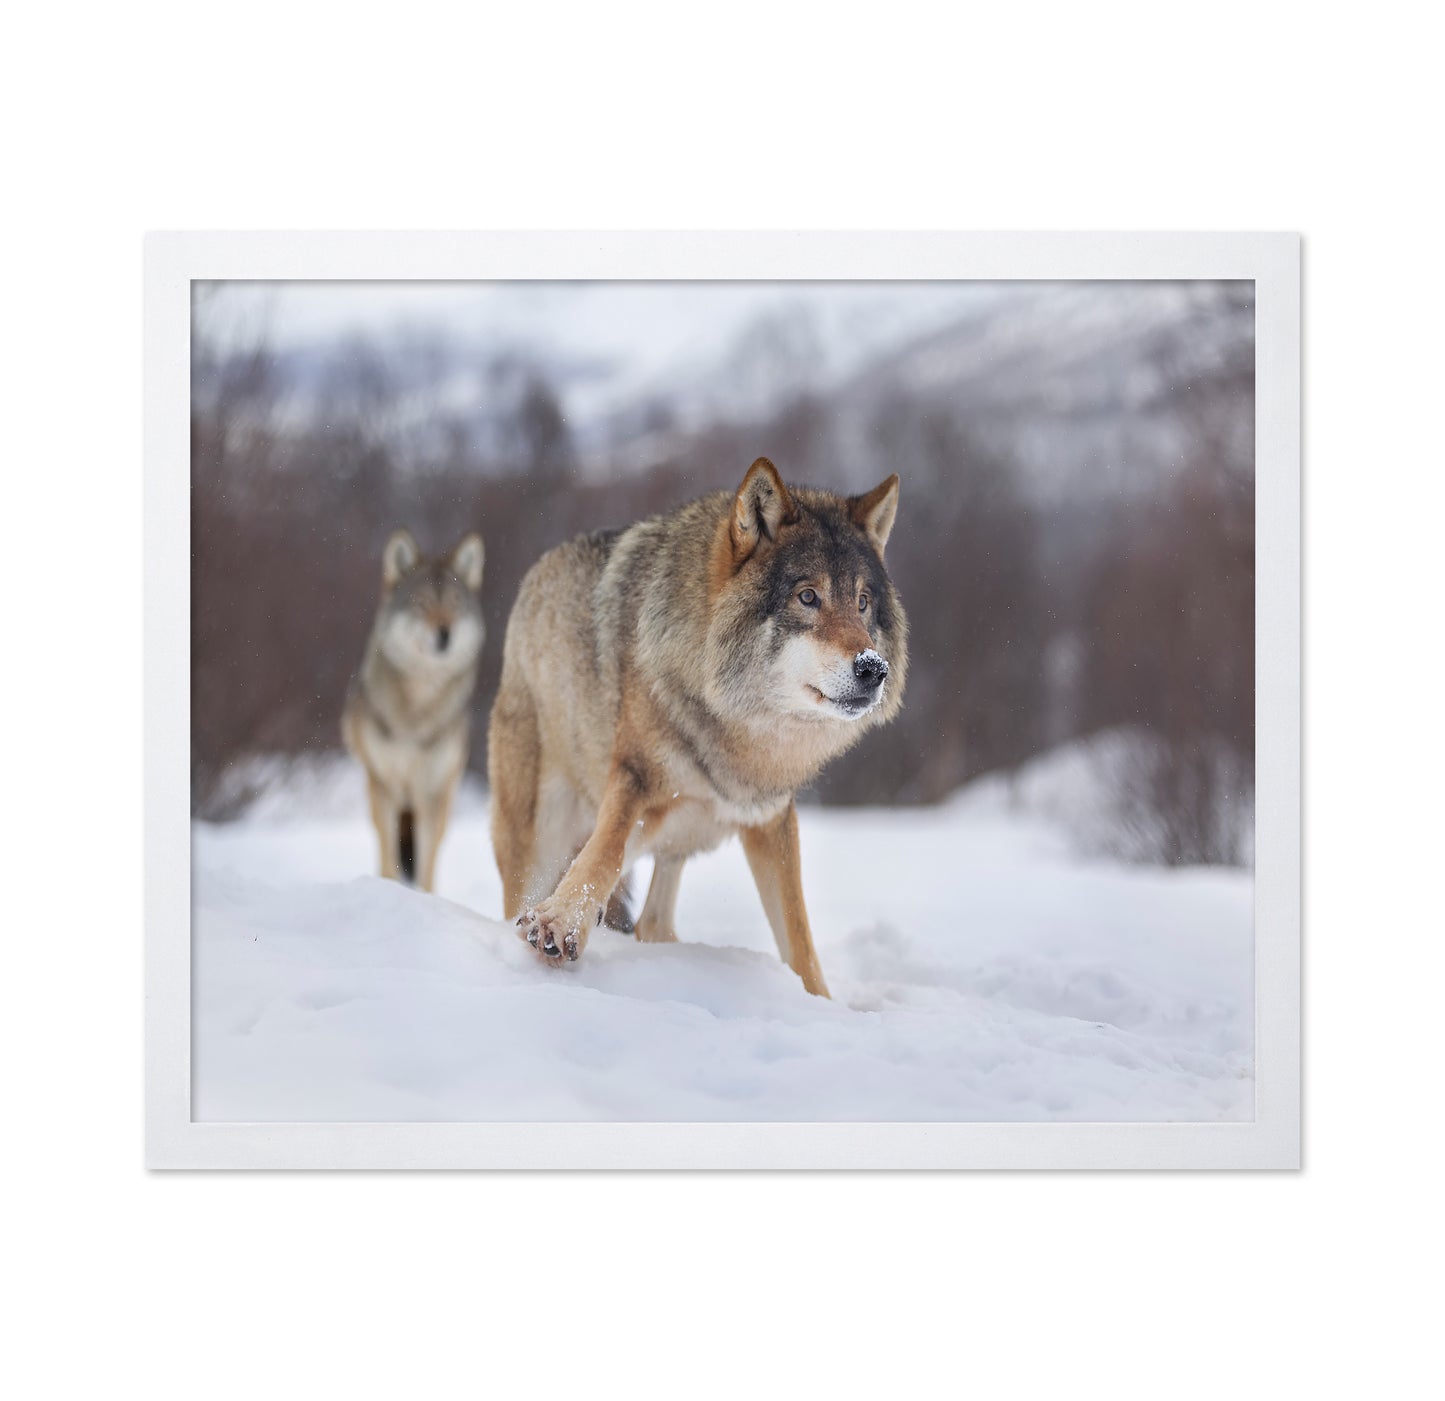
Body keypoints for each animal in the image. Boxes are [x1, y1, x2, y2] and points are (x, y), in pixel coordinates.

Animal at [342, 527, 485, 892]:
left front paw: (425, 899)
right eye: (422, 604)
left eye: (454, 604)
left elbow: (427, 865)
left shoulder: (431, 792)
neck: (417, 710)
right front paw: (388, 890)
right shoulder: (385, 785)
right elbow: (389, 855)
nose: (445, 634)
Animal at [488, 457, 906, 997]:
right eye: (808, 597)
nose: (874, 669)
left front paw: (821, 1004)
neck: (738, 727)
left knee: (652, 922)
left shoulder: (770, 817)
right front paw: (559, 922)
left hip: (672, 839)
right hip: (541, 836)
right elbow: (603, 852)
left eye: (862, 602)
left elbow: (799, 939)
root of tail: (534, 579)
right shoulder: (635, 777)